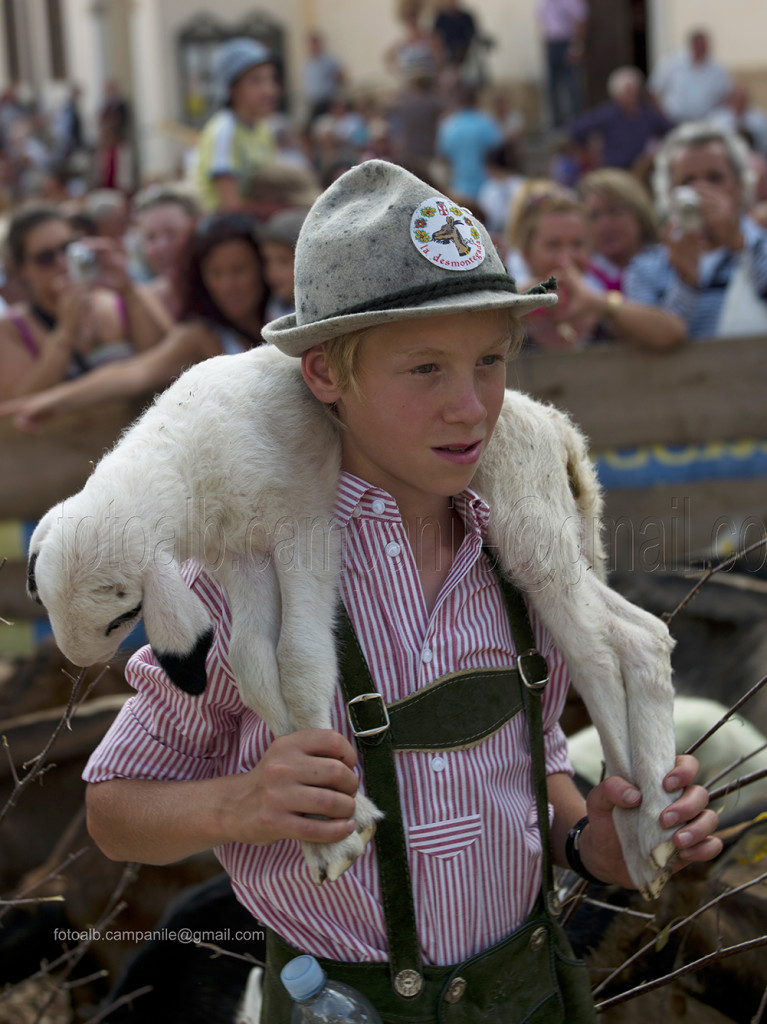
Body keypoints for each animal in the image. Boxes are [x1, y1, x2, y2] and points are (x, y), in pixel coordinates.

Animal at [28, 344, 675, 897]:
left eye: (122, 616)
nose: (80, 659)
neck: (184, 453)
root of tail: (556, 425)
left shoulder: (304, 530)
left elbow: (299, 661)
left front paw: (339, 834)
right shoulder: (243, 555)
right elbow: (252, 665)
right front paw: (324, 809)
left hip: (529, 527)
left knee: (593, 651)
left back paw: (634, 810)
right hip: (559, 535)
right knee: (640, 634)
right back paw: (649, 827)